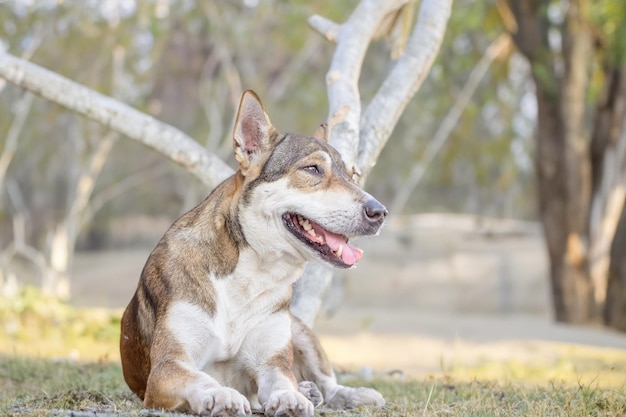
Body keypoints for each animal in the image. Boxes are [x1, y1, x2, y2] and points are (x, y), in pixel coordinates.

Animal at [118, 91, 386, 416]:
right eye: (312, 169)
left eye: (353, 176)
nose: (379, 212)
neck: (250, 274)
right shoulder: (168, 367)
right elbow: (201, 379)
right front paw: (221, 394)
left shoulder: (272, 364)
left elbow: (284, 381)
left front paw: (292, 398)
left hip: (299, 330)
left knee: (328, 384)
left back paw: (343, 394)